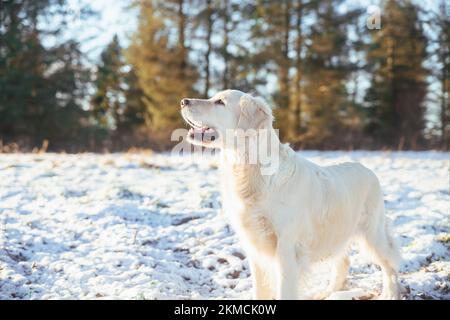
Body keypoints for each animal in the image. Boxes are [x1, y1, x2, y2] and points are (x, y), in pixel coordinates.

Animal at [179, 89, 400, 298]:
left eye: (220, 102)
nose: (183, 101)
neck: (251, 171)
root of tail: (367, 169)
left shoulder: (287, 248)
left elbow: (284, 290)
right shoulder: (255, 248)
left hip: (372, 233)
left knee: (390, 262)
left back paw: (390, 293)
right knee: (344, 261)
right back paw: (327, 292)